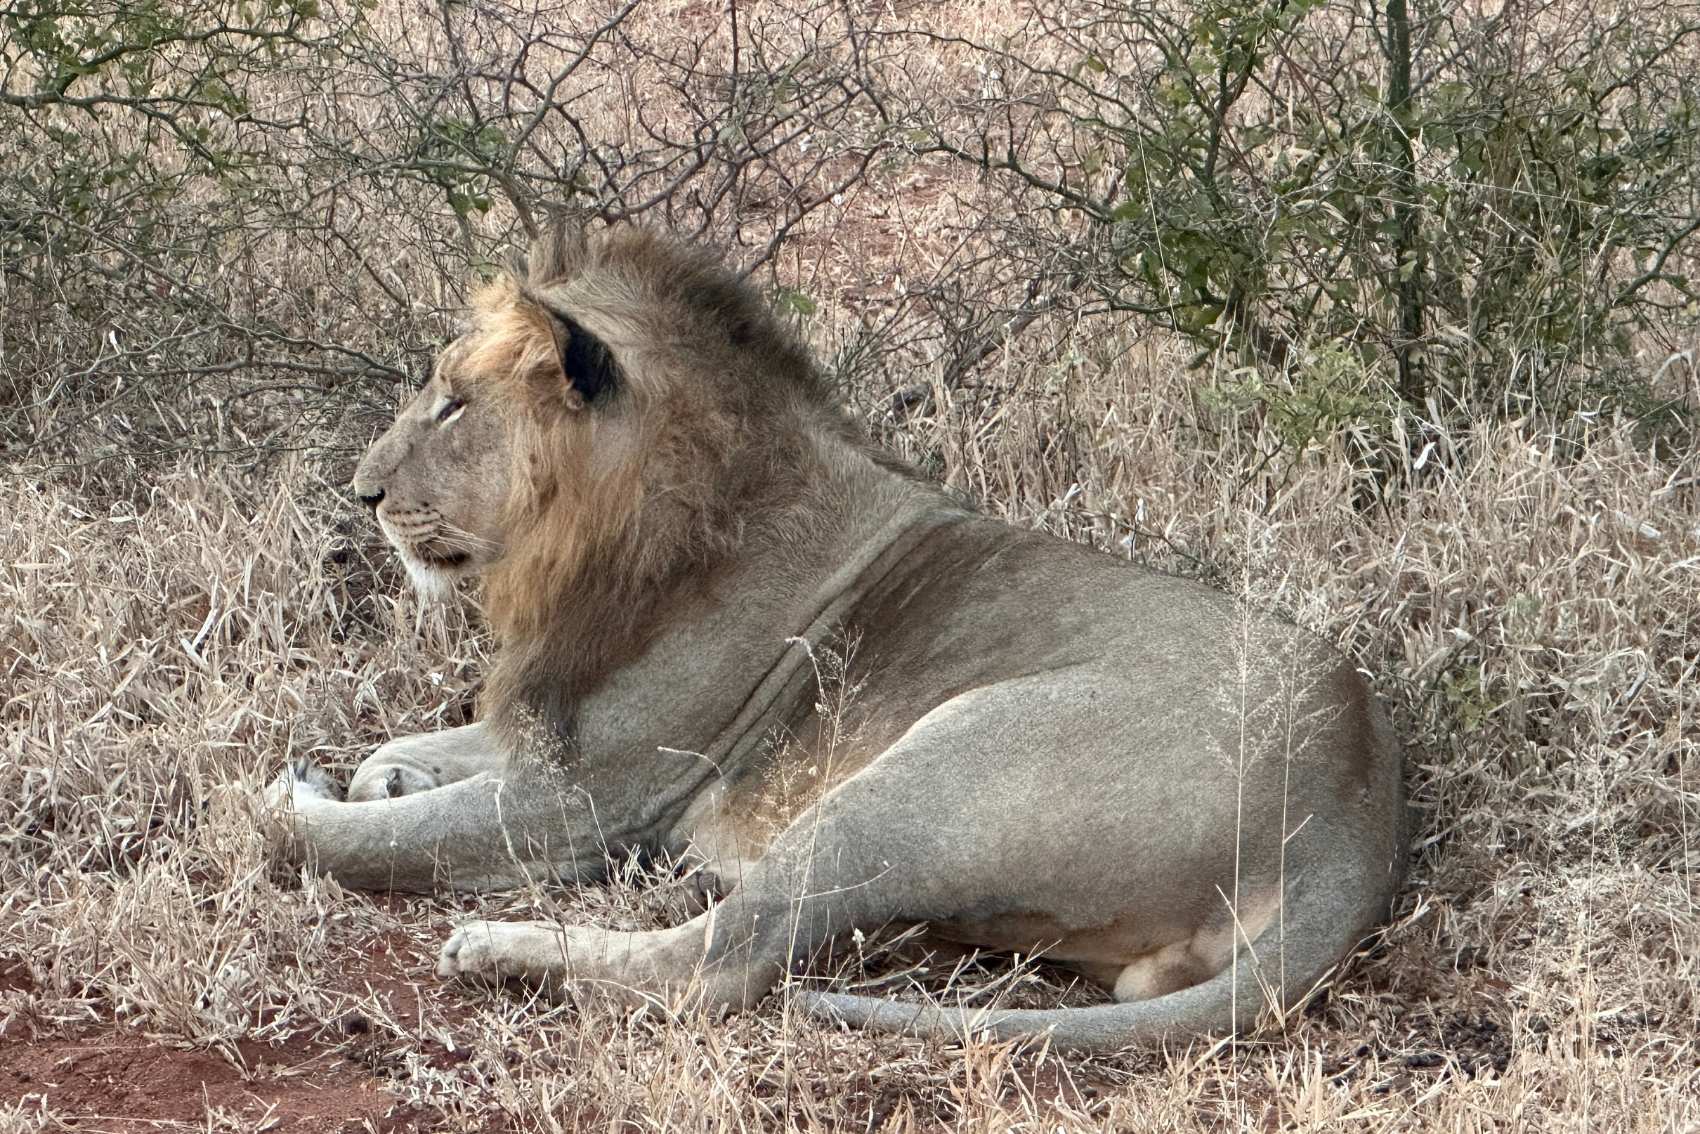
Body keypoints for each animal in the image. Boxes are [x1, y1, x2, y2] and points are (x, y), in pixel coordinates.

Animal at [271, 225, 1406, 1051]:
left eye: (454, 405)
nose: (362, 492)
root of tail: (1355, 806)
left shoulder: (590, 797)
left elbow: (337, 837)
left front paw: (297, 796)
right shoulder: (550, 728)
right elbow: (405, 754)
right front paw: (374, 774)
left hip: (925, 780)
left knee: (712, 966)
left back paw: (498, 949)